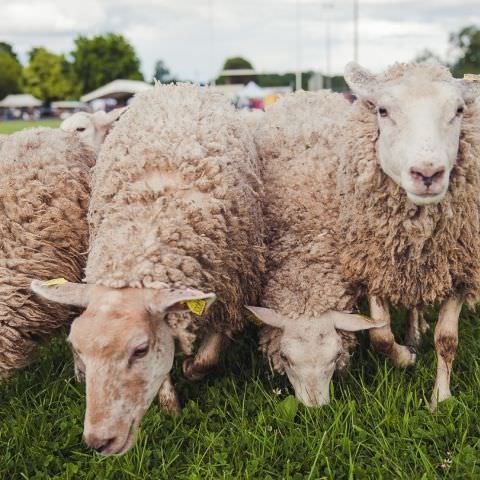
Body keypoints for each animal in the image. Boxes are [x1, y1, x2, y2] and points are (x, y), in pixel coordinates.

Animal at [31, 84, 264, 456]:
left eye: (139, 350)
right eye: (78, 349)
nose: (99, 441)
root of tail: (173, 87)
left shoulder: (232, 287)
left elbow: (211, 353)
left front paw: (192, 368)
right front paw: (170, 404)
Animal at [340, 61, 480, 408]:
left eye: (459, 110)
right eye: (383, 110)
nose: (428, 173)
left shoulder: (461, 267)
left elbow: (447, 339)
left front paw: (440, 399)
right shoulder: (375, 261)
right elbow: (379, 335)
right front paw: (406, 357)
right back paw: (414, 334)